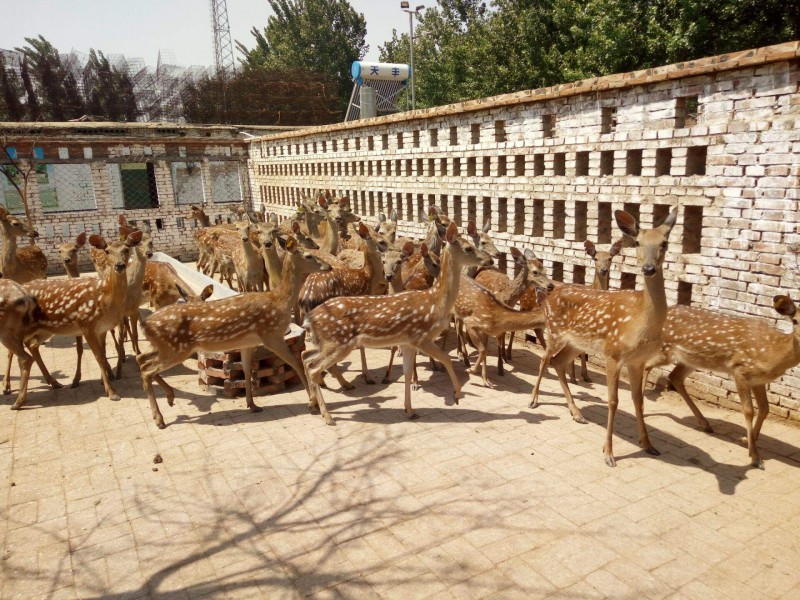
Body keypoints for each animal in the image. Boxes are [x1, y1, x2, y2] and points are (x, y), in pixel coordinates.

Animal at [15, 230, 144, 408]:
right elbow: (97, 357)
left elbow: (103, 354)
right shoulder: (86, 325)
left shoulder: (101, 328)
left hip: (45, 328)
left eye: (126, 249)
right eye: (107, 251)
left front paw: (107, 382)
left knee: (31, 345)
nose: (119, 265)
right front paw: (111, 392)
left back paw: (53, 382)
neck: (104, 296)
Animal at [136, 237, 330, 428]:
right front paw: (312, 402)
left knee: (142, 360)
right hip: (177, 348)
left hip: (164, 347)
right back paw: (159, 419)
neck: (280, 302)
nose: (328, 266)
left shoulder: (248, 343)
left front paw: (252, 405)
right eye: (308, 256)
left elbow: (247, 371)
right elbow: (297, 364)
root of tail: (145, 323)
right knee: (147, 370)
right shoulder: (271, 335)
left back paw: (169, 398)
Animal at [302, 223, 494, 424]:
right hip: (338, 342)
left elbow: (408, 372)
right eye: (468, 248)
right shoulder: (421, 337)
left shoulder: (408, 342)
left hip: (327, 343)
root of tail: (309, 318)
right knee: (314, 367)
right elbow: (446, 359)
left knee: (306, 358)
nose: (490, 260)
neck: (436, 302)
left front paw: (409, 410)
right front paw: (456, 394)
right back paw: (327, 415)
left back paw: (313, 404)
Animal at [528, 209, 680, 466]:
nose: (649, 268)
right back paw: (534, 400)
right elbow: (613, 401)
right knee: (544, 359)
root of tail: (549, 293)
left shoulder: (637, 361)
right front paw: (608, 453)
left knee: (558, 362)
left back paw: (577, 412)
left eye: (665, 243)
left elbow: (638, 400)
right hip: (554, 331)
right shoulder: (613, 353)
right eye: (637, 242)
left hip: (575, 342)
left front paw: (648, 445)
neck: (639, 322)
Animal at [640, 298, 800, 472]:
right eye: (795, 320)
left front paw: (748, 440)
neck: (772, 353)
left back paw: (705, 424)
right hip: (666, 349)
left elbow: (765, 408)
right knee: (646, 365)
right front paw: (755, 457)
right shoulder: (741, 370)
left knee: (674, 376)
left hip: (692, 359)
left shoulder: (759, 380)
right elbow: (749, 411)